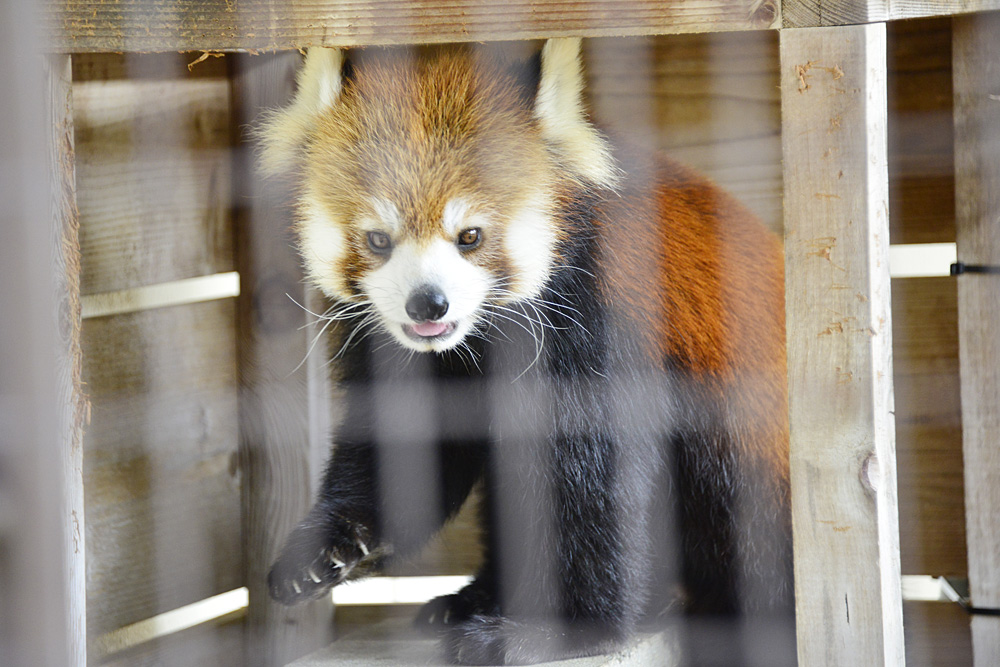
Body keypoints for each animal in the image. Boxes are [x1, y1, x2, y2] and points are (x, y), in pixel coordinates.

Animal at [262, 39, 792, 664]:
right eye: (378, 240)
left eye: (470, 236)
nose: (428, 304)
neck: (479, 342)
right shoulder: (410, 356)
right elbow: (408, 446)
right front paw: (333, 546)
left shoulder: (601, 320)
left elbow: (593, 485)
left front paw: (563, 629)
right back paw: (474, 597)